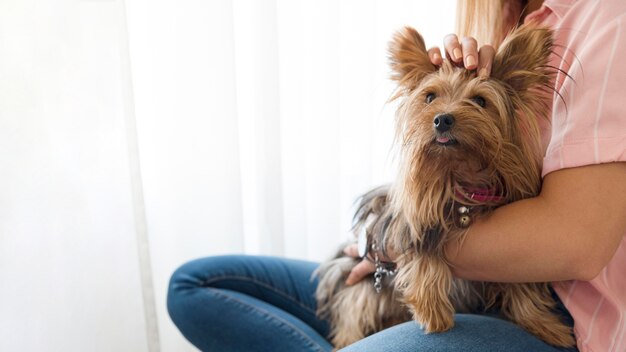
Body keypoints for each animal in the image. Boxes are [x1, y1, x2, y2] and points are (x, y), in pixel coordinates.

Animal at [314, 25, 572, 350]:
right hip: (357, 282)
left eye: (480, 101)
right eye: (429, 97)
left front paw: (547, 327)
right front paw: (434, 313)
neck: (460, 173)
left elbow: (522, 283)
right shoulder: (410, 224)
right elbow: (426, 255)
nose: (442, 119)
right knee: (354, 310)